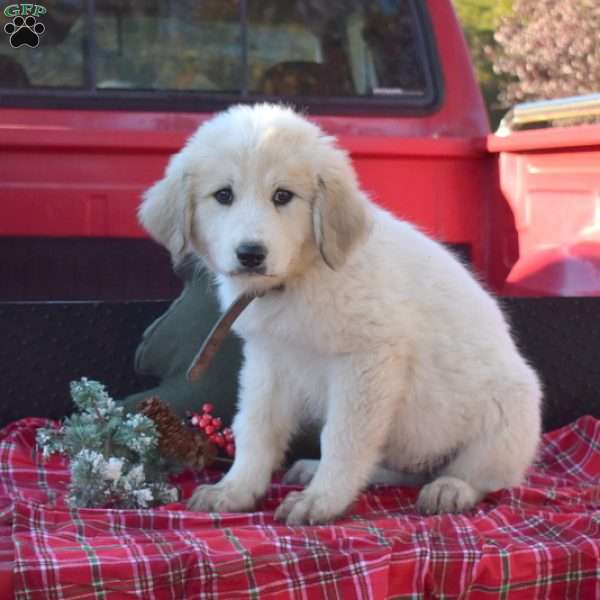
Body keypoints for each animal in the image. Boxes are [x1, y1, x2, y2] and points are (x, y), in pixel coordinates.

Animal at [141, 104, 544, 524]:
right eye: (223, 195)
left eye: (283, 196)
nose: (251, 254)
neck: (299, 280)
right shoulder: (269, 360)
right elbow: (255, 426)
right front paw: (236, 489)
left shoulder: (367, 361)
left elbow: (342, 436)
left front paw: (322, 500)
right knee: (402, 468)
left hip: (509, 413)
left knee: (483, 475)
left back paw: (452, 488)